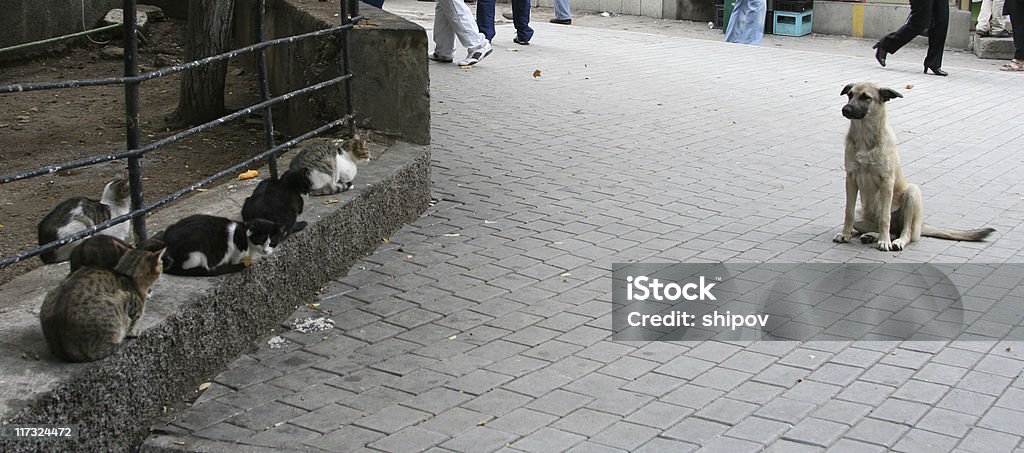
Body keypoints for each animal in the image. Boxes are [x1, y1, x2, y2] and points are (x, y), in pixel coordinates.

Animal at [159, 215, 288, 276]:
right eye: (260, 241)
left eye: (272, 243)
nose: (266, 251)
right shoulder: (236, 244)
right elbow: (236, 256)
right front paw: (236, 262)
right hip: (196, 254)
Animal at [831, 81, 991, 251]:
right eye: (850, 95)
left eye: (866, 97)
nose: (845, 109)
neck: (865, 136)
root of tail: (921, 225)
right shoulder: (850, 179)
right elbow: (848, 212)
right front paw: (845, 234)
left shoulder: (887, 181)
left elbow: (885, 218)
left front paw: (884, 242)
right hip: (862, 215)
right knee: (890, 229)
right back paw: (871, 235)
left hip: (912, 193)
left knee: (904, 232)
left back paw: (894, 241)